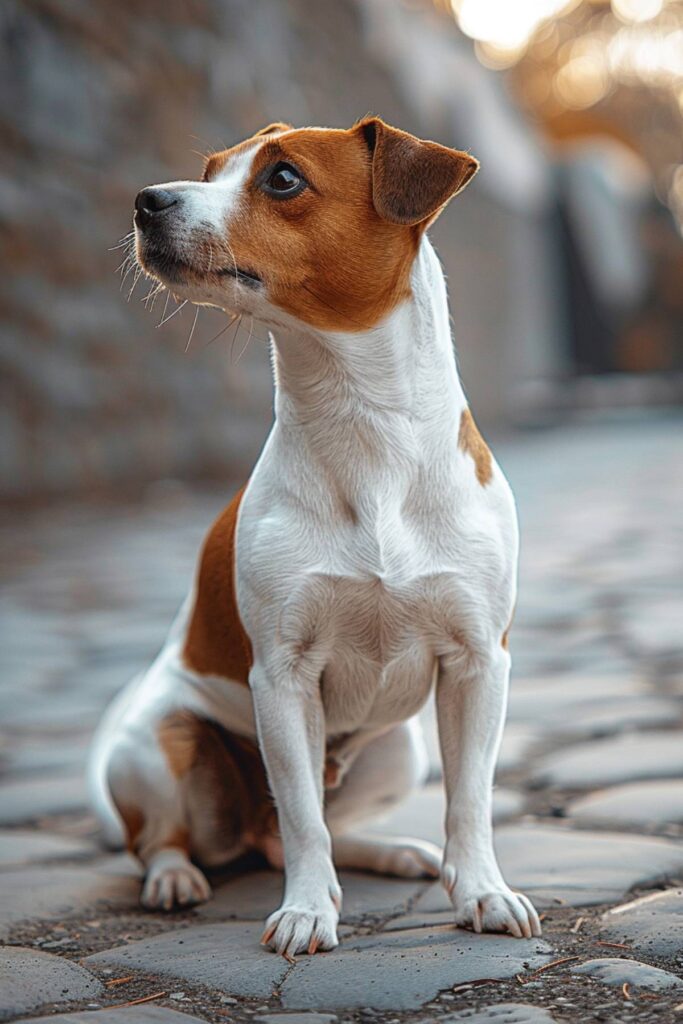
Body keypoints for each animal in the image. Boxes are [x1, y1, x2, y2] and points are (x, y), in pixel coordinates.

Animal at [90, 116, 540, 954]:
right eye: (211, 170)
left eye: (282, 179)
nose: (145, 200)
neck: (364, 427)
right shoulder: (283, 678)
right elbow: (303, 820)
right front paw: (305, 910)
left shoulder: (476, 664)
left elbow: (469, 802)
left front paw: (482, 891)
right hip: (160, 744)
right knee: (177, 837)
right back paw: (175, 878)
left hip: (399, 748)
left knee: (321, 828)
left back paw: (392, 852)